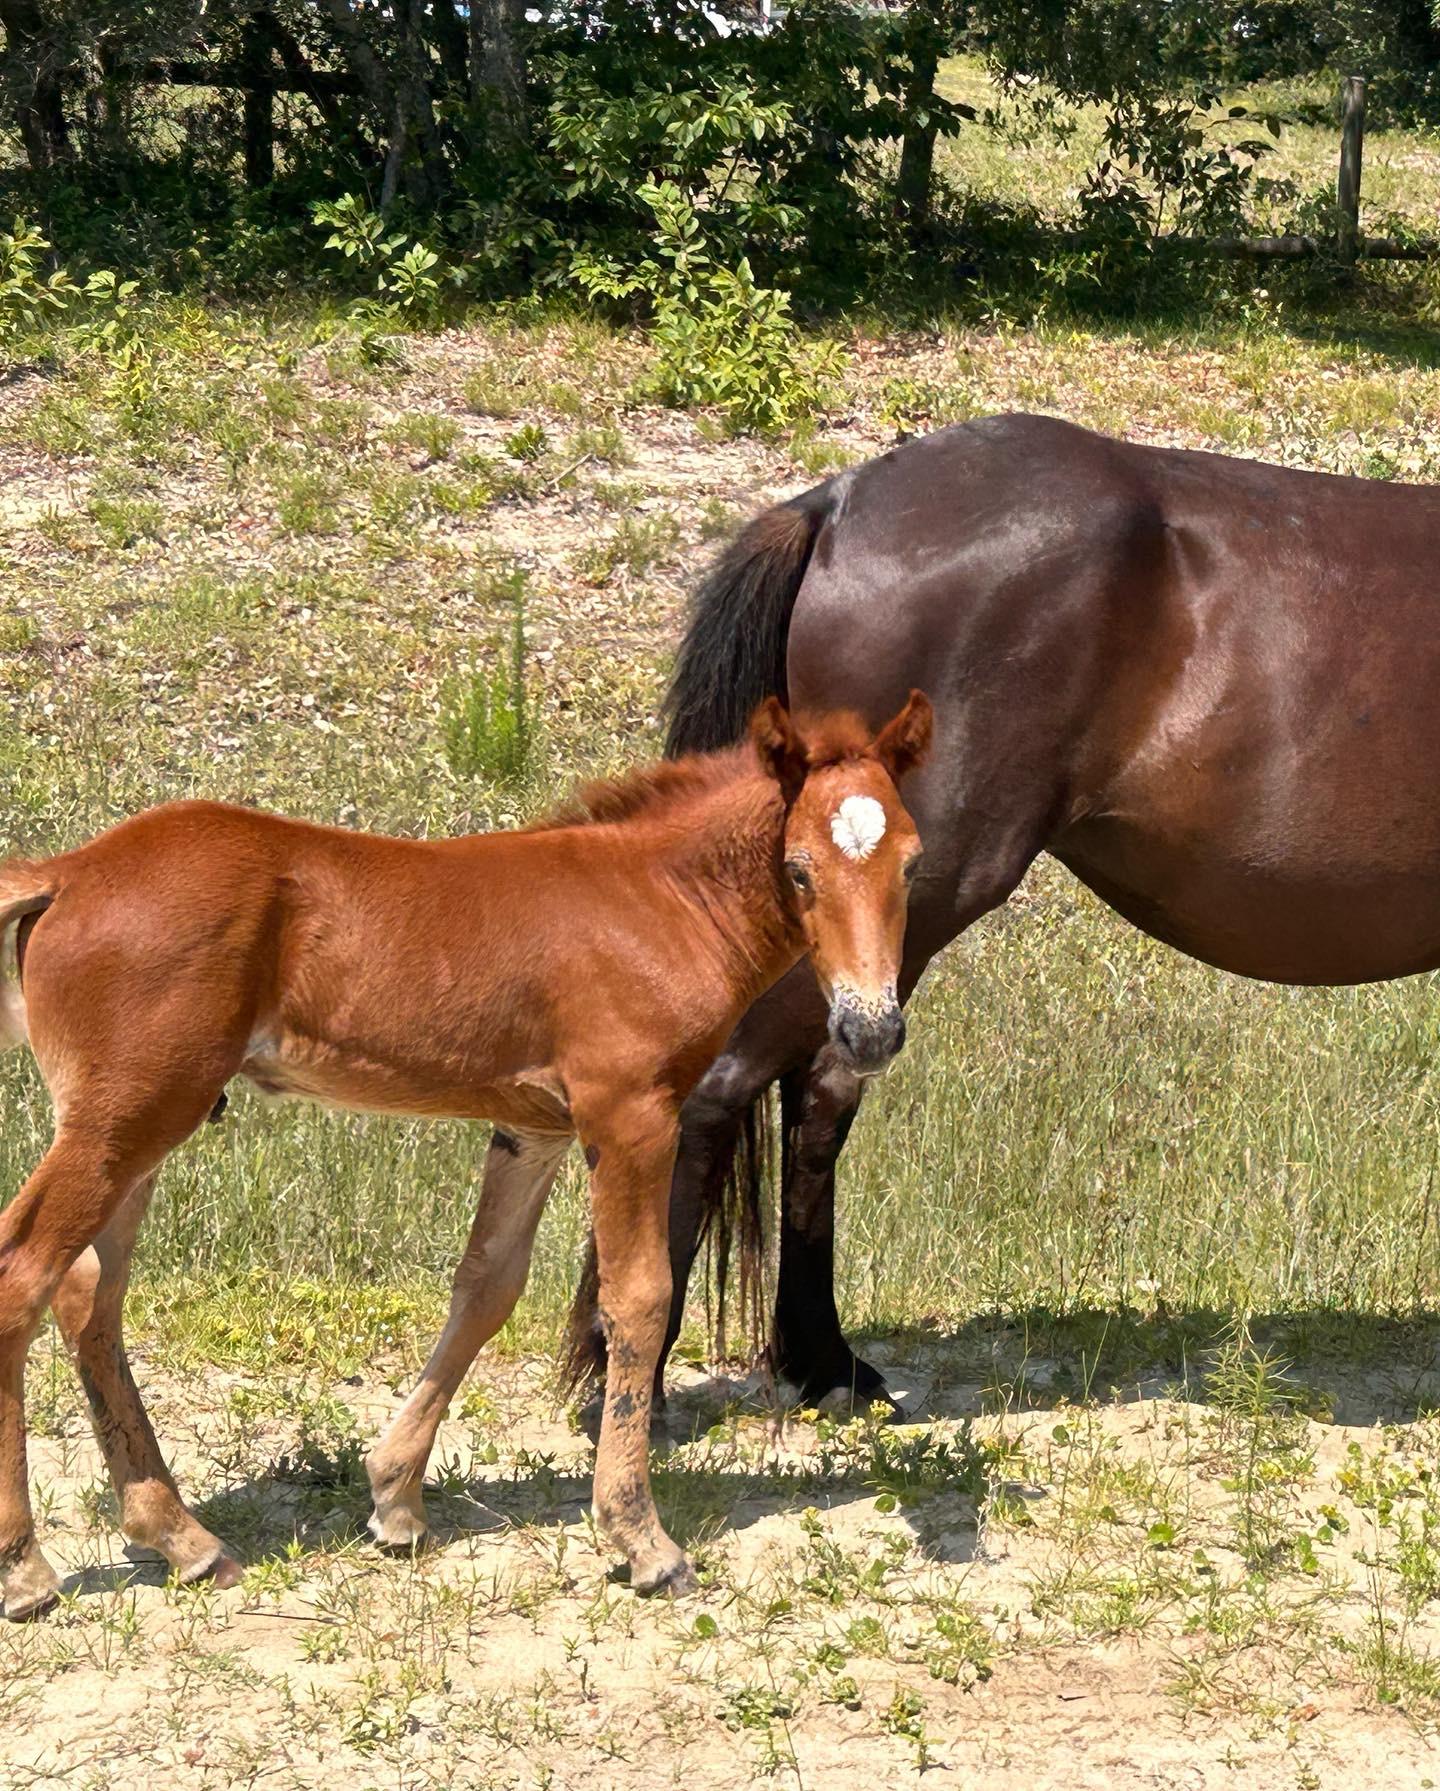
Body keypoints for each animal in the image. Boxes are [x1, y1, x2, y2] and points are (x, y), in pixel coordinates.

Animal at [0, 691, 931, 1619]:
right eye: (800, 868)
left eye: (912, 865)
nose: (871, 1030)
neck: (659, 899)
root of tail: (70, 871)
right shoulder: (629, 1113)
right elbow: (638, 1298)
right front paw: (642, 1538)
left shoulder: (535, 1128)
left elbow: (487, 1286)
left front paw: (396, 1497)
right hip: (126, 1119)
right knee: (25, 1277)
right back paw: (27, 1567)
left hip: (141, 1123)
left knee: (90, 1297)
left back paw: (183, 1539)